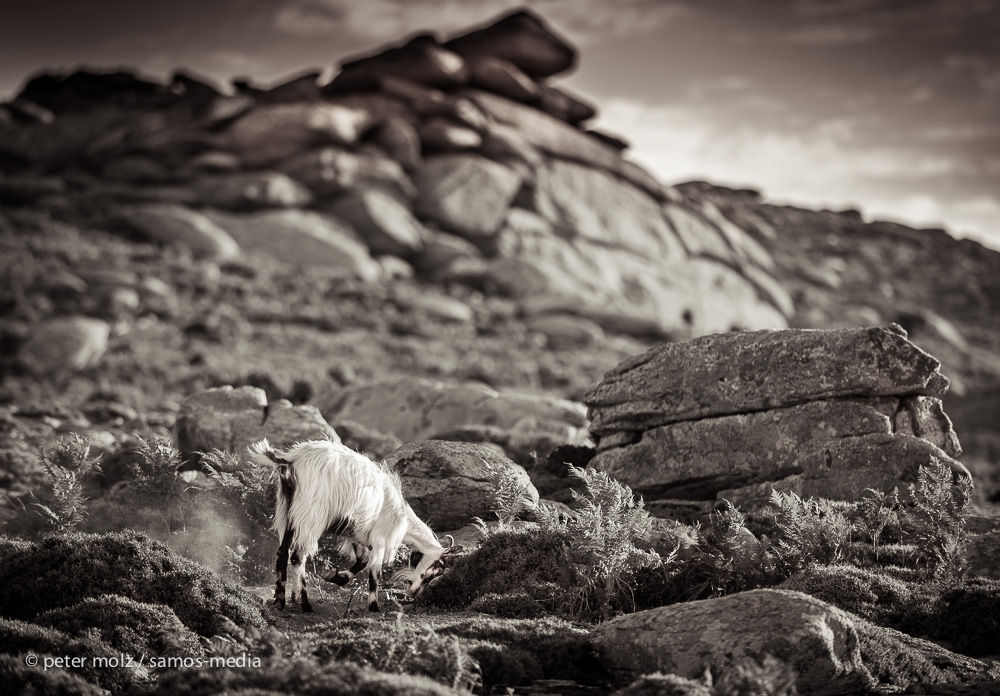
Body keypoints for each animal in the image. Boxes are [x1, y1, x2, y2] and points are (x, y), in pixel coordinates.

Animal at [248, 438, 458, 612]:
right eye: (437, 568)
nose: (414, 593)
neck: (402, 516)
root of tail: (291, 460)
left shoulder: (357, 533)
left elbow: (361, 561)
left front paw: (335, 577)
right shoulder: (379, 540)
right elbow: (374, 574)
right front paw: (374, 608)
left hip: (287, 513)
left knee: (282, 553)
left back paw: (280, 601)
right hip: (310, 516)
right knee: (298, 557)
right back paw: (306, 605)